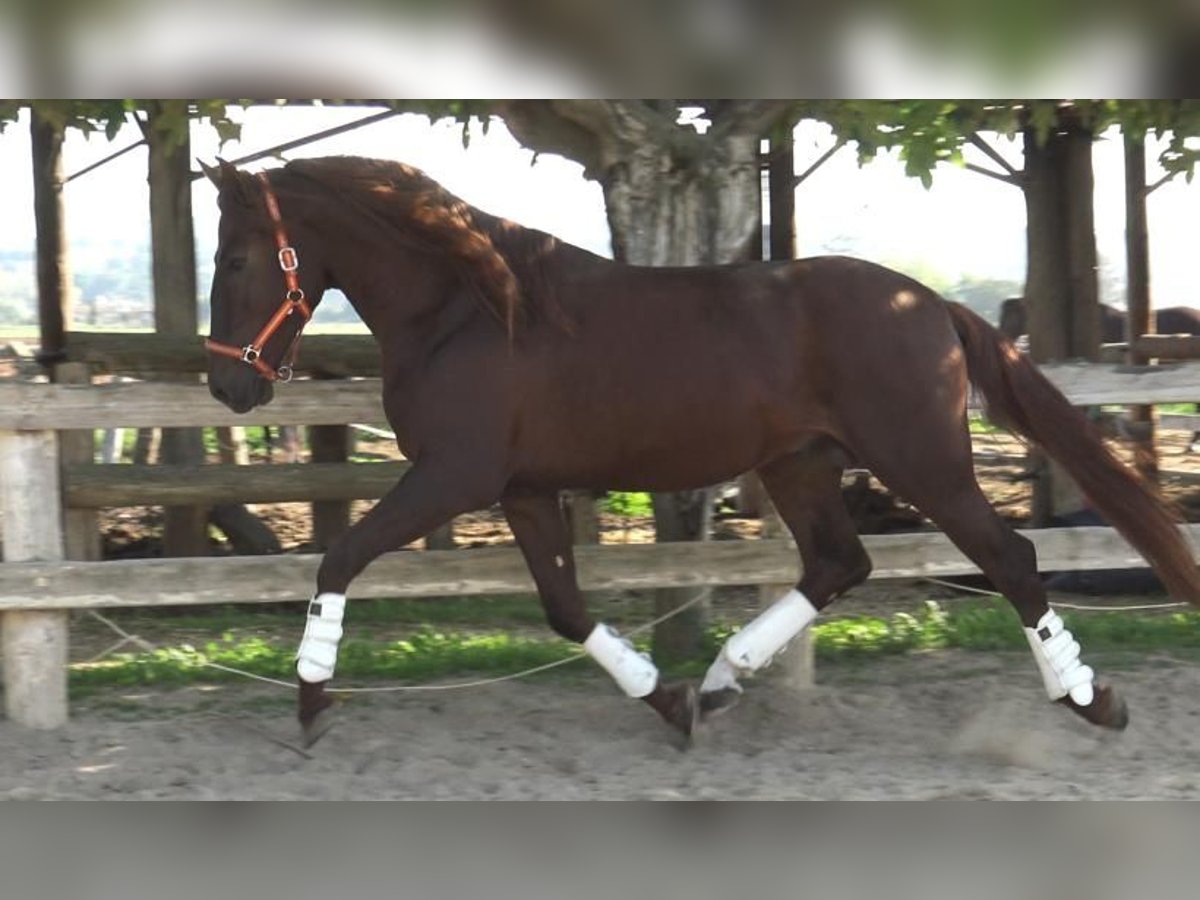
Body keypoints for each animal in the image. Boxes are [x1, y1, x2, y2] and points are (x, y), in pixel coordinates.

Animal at [199, 158, 1200, 748]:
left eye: (236, 260)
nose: (228, 387)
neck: (468, 313)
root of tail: (928, 303)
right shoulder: (522, 489)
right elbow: (566, 609)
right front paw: (670, 699)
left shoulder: (453, 475)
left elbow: (338, 557)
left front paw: (310, 701)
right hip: (802, 463)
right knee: (840, 563)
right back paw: (722, 682)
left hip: (925, 462)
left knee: (1012, 558)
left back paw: (1093, 701)